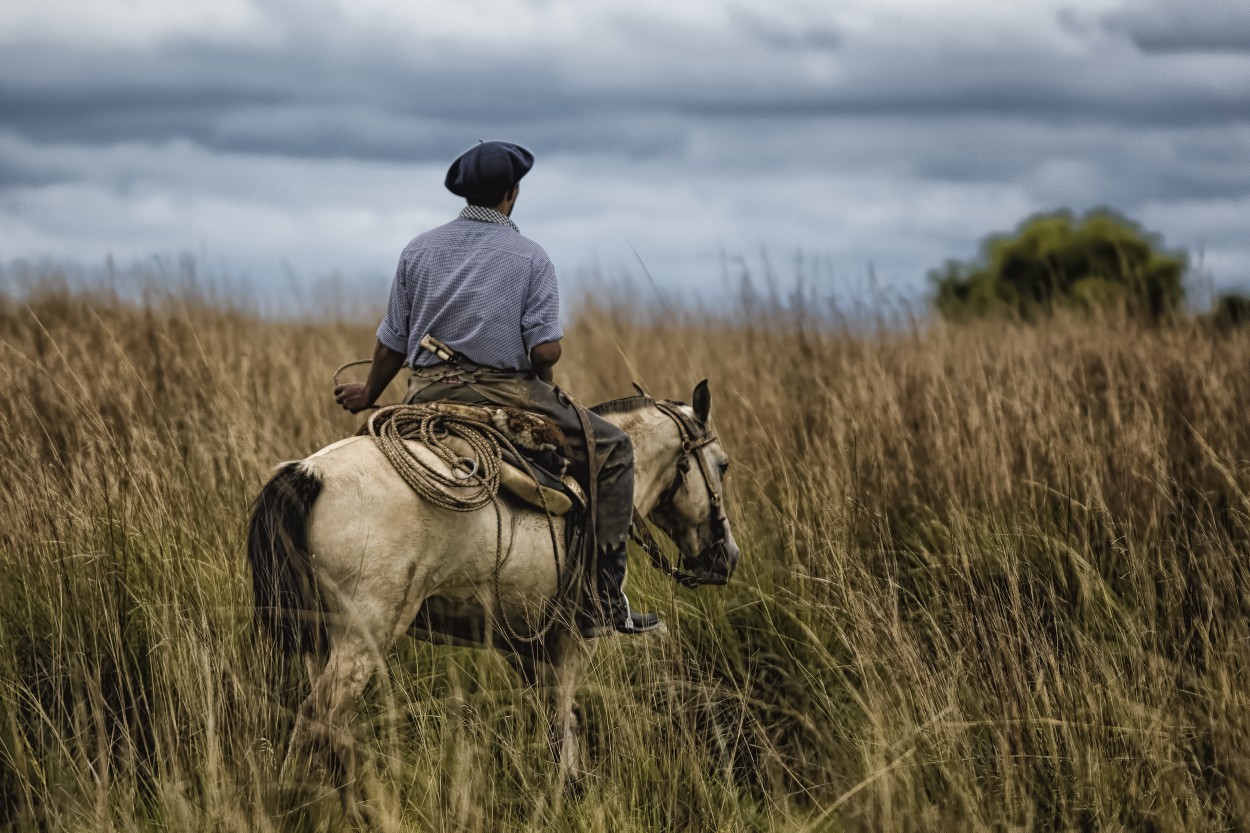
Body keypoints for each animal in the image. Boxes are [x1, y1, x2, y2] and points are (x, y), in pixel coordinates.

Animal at [248, 380, 740, 790]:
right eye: (723, 465)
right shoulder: (573, 640)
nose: (727, 557)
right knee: (316, 720)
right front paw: (568, 791)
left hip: (318, 636)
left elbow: (554, 721)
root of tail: (308, 473)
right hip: (361, 636)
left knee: (329, 728)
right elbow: (563, 719)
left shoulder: (529, 646)